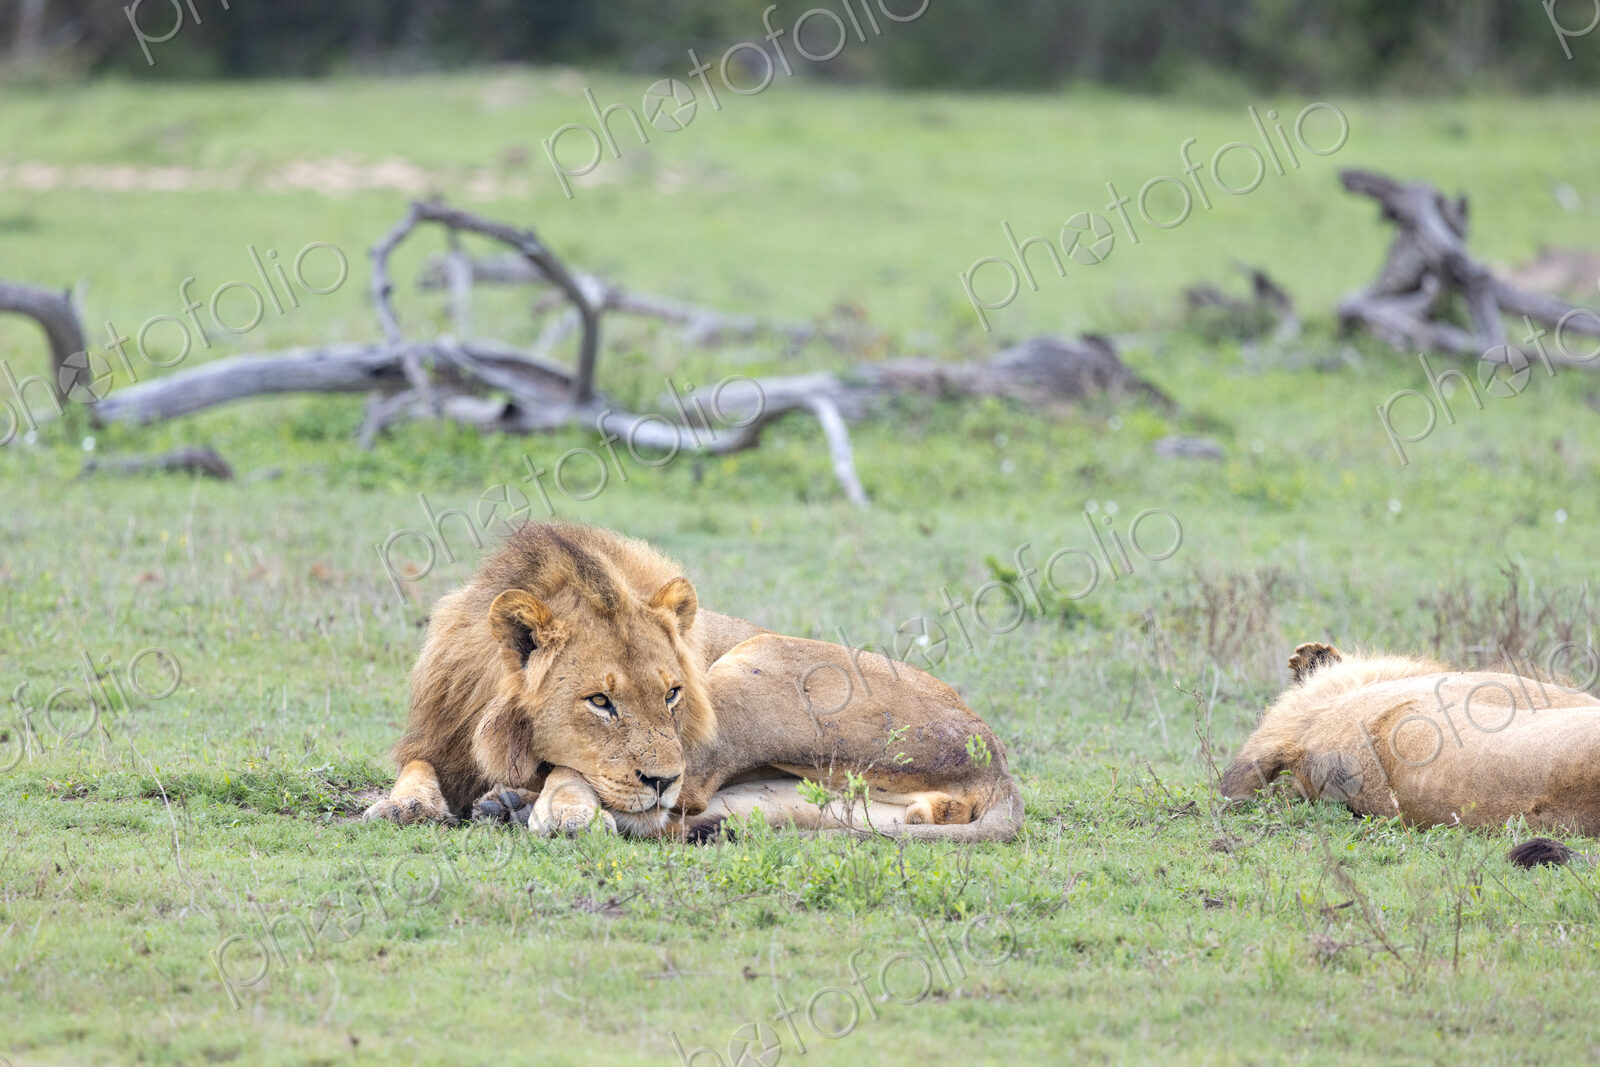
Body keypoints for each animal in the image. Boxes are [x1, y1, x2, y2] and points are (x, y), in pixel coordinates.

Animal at [363, 522, 1024, 842]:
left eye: (672, 694)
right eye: (600, 702)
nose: (658, 779)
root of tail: (996, 760)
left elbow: (574, 771)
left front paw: (562, 809)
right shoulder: (438, 738)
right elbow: (417, 767)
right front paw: (404, 805)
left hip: (755, 663)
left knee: (677, 802)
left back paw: (520, 806)